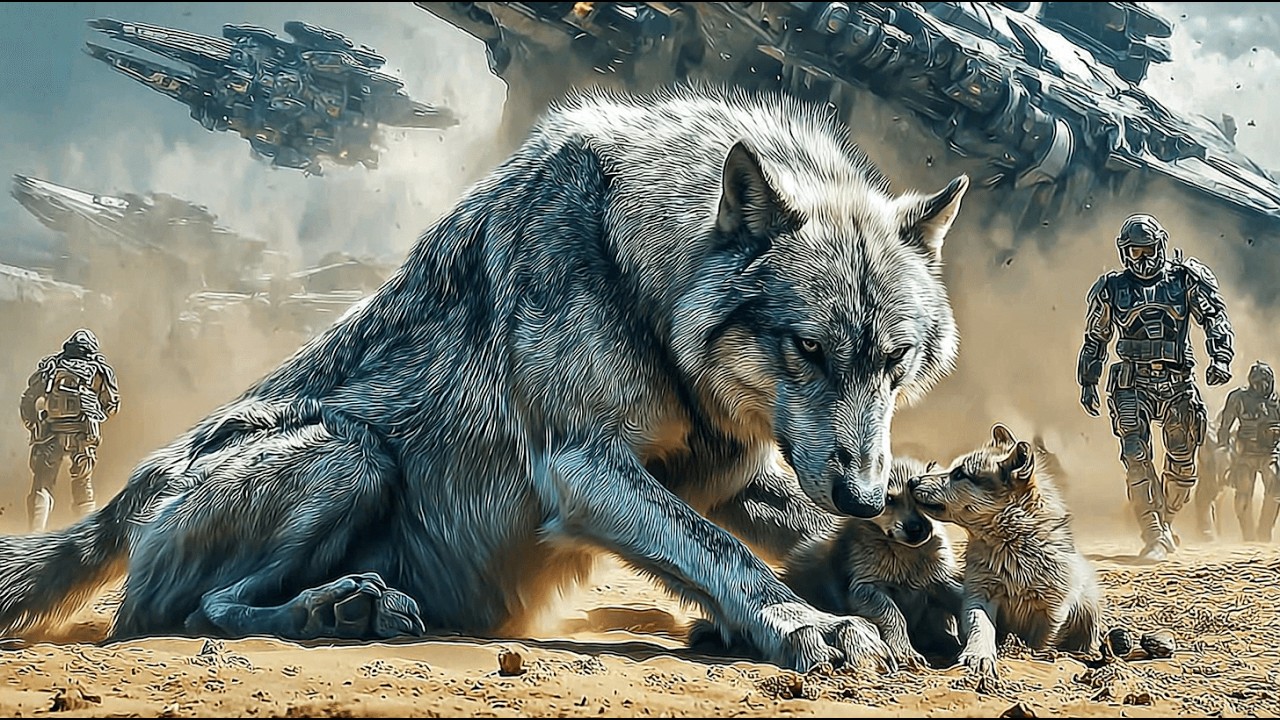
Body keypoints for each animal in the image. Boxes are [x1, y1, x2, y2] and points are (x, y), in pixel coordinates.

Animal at [782, 456, 964, 669]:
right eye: (888, 499)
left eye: (922, 500)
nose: (916, 529)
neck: (905, 553)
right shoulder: (865, 588)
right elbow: (893, 615)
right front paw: (904, 652)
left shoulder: (940, 580)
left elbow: (961, 599)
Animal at [909, 424, 1103, 677]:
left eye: (959, 474)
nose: (912, 480)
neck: (1010, 544)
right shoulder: (979, 595)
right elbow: (980, 626)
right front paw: (978, 656)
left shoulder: (1052, 610)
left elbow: (1038, 643)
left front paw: (1028, 656)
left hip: (1089, 604)